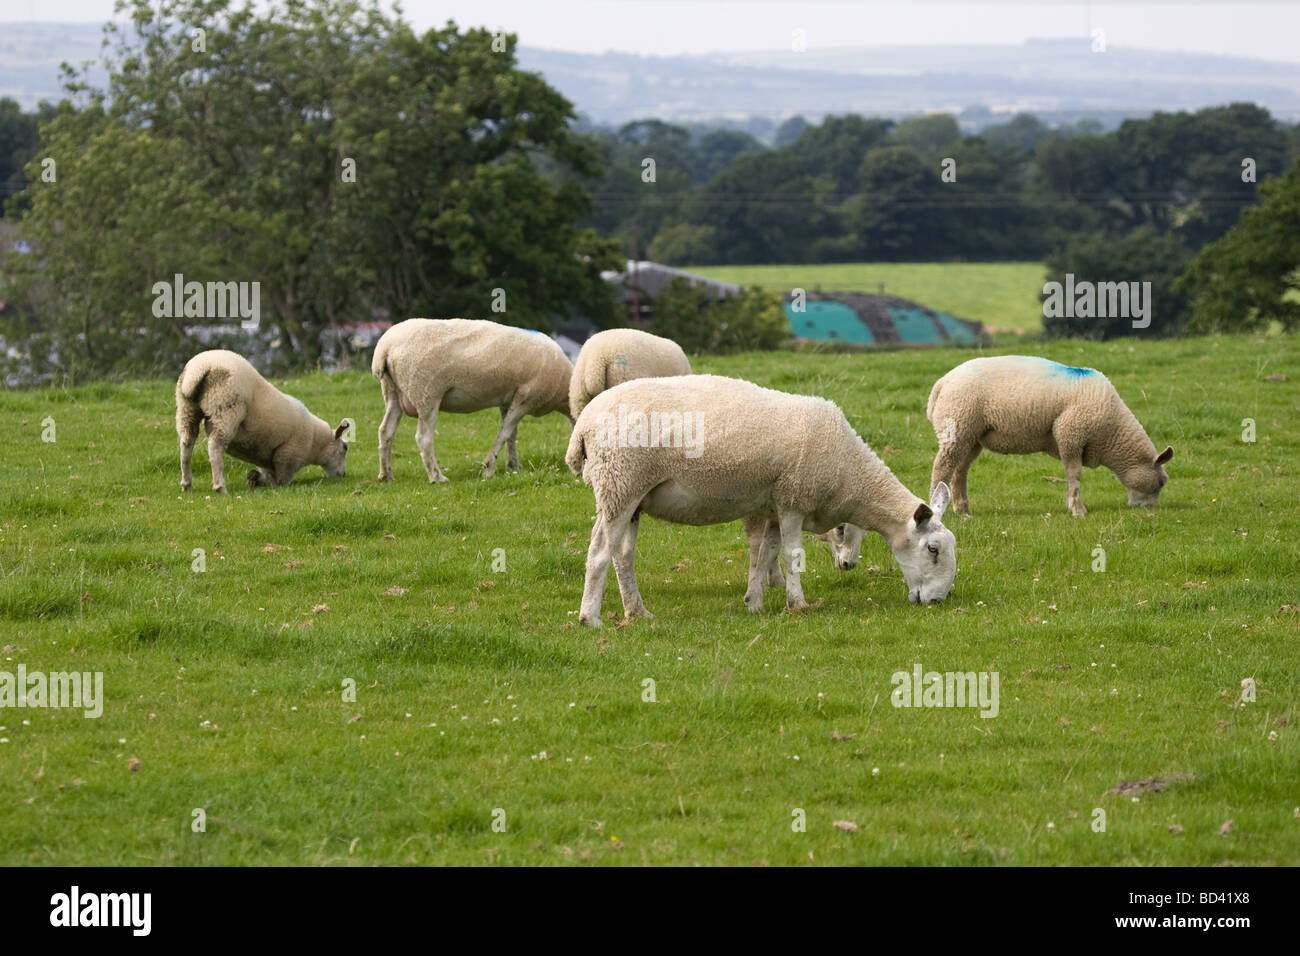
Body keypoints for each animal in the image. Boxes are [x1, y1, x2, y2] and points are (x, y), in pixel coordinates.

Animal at [178, 348, 353, 494]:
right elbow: (279, 481)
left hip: (186, 408)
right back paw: (220, 487)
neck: (315, 443)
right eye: (345, 448)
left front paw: (253, 477)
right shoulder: (287, 458)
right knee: (215, 447)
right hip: (225, 408)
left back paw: (187, 484)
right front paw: (257, 479)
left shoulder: (270, 460)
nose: (343, 474)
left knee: (186, 443)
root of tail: (198, 369)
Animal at [371, 319, 574, 481]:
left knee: (385, 431)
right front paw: (488, 468)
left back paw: (386, 475)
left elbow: (511, 435)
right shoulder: (525, 398)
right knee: (423, 438)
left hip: (392, 391)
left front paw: (514, 466)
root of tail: (385, 347)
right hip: (426, 393)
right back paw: (437, 477)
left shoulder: (508, 401)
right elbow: (505, 433)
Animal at [561, 374, 956, 629]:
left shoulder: (775, 505)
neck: (849, 471)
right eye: (933, 549)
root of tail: (584, 426)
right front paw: (798, 604)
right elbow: (792, 555)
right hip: (619, 485)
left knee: (623, 555)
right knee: (599, 553)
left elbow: (765, 553)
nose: (939, 601)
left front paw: (754, 602)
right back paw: (590, 618)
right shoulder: (795, 499)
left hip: (633, 496)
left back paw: (637, 613)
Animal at [925, 353, 1180, 515]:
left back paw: (963, 510)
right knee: (942, 467)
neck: (1112, 432)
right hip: (957, 425)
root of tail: (942, 383)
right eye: (1161, 482)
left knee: (960, 471)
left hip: (971, 437)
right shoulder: (1070, 433)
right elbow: (1074, 474)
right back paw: (937, 509)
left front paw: (1073, 506)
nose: (1149, 511)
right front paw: (1078, 510)